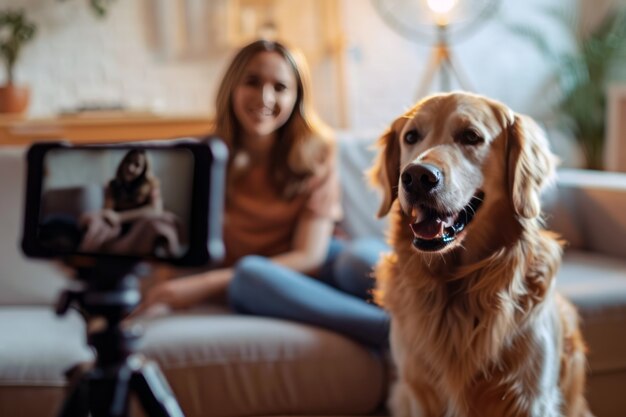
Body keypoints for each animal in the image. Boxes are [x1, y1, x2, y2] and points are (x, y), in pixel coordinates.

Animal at [370, 92, 588, 416]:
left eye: (471, 136)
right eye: (411, 137)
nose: (417, 176)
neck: (457, 290)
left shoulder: (533, 397)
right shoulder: (418, 390)